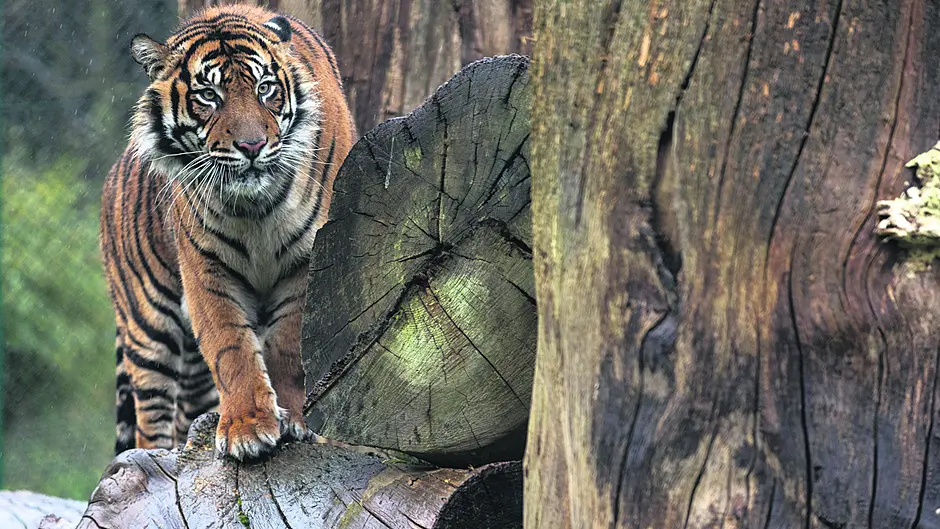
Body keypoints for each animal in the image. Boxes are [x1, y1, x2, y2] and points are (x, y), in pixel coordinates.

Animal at [99, 5, 355, 460]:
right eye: (208, 96)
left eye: (265, 89)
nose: (252, 146)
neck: (255, 208)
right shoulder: (207, 267)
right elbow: (231, 346)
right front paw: (247, 429)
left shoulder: (308, 259)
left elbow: (289, 344)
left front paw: (294, 419)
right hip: (149, 331)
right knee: (151, 422)